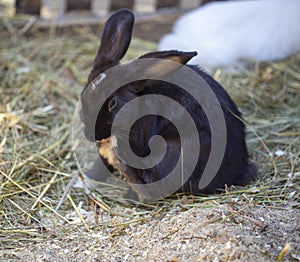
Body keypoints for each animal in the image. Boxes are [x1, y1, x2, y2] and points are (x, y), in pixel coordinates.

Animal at [81, 8, 256, 201]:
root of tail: (240, 170)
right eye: (83, 94)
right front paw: (87, 178)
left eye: (113, 102)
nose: (91, 136)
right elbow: (101, 165)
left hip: (175, 150)